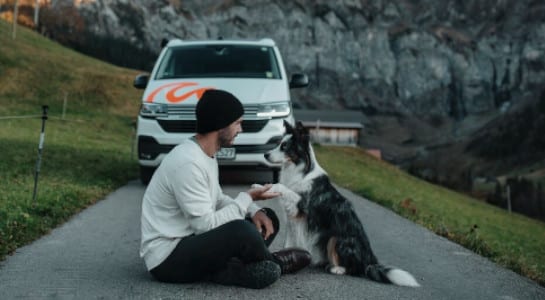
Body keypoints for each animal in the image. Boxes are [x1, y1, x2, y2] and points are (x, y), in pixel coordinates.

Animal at [264, 120, 420, 288]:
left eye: (284, 147)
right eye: (279, 144)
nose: (265, 154)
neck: (300, 170)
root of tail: (370, 260)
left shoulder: (302, 205)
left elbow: (283, 188)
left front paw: (272, 187)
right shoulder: (292, 217)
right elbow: (289, 242)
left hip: (337, 237)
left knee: (355, 269)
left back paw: (337, 269)